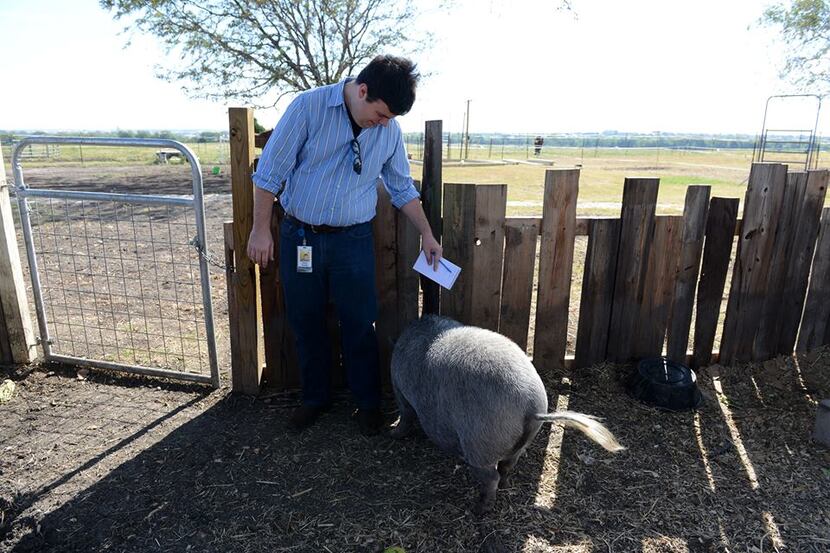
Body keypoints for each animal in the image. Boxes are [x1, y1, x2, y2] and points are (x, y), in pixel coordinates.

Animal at [390, 314, 624, 512]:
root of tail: (530, 406)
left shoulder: (400, 389)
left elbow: (406, 414)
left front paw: (394, 433)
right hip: (521, 441)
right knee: (507, 466)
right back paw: (504, 486)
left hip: (481, 443)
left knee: (490, 476)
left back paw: (479, 509)